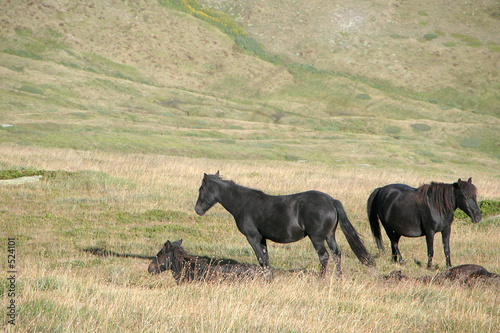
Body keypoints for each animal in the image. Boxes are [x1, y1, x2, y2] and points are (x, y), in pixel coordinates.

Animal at [193, 170, 374, 276]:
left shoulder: (252, 237)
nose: (197, 209)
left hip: (316, 237)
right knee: (336, 255)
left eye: (201, 189)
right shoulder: (262, 238)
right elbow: (265, 258)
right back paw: (337, 277)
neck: (243, 203)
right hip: (330, 236)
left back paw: (321, 278)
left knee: (324, 256)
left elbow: (260, 258)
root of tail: (331, 201)